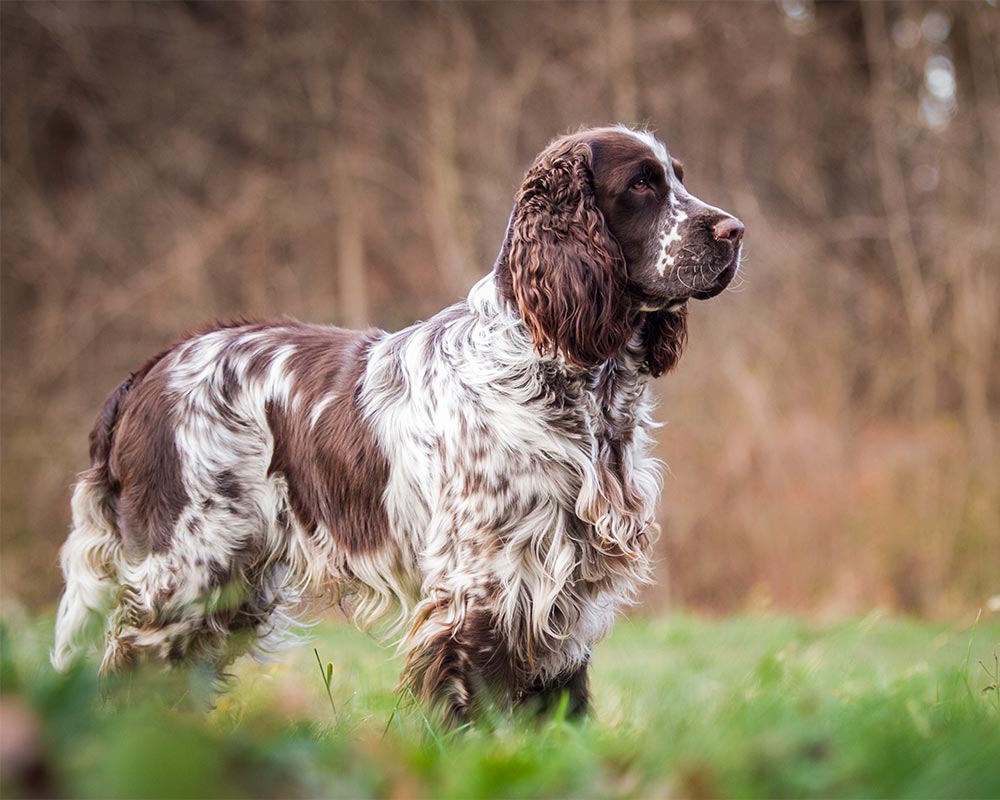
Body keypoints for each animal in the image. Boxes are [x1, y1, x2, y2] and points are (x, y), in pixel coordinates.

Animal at [54, 125, 744, 724]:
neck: (562, 379)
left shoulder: (563, 593)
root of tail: (148, 372)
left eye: (678, 178)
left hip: (229, 587)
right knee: (127, 673)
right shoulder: (485, 590)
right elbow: (483, 712)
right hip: (186, 574)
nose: (736, 230)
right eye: (642, 184)